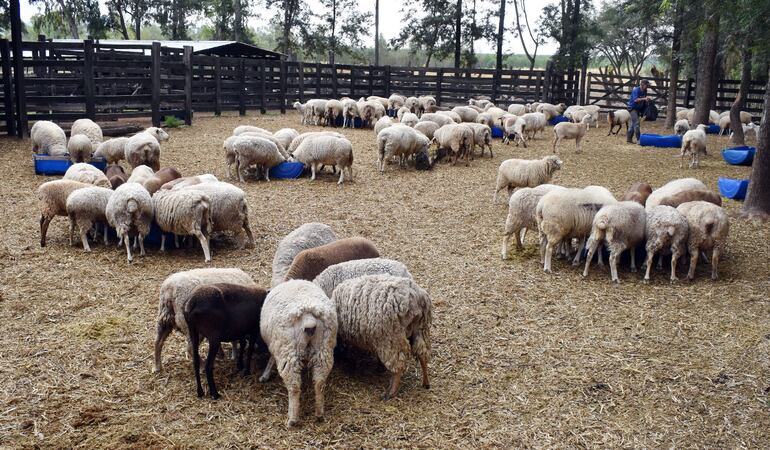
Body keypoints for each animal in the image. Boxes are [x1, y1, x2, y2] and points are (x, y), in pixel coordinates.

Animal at [259, 280, 338, 427]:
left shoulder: (276, 344)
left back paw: (292, 419)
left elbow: (271, 358)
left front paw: (265, 375)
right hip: (323, 348)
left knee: (294, 386)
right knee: (319, 382)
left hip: (288, 350)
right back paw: (319, 414)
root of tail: (309, 319)